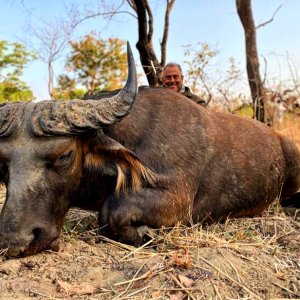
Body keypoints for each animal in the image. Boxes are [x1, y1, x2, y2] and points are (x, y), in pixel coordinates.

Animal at [0, 43, 298, 256]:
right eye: (4, 163)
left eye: (64, 155)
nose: (16, 240)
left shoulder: (178, 202)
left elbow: (111, 211)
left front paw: (146, 233)